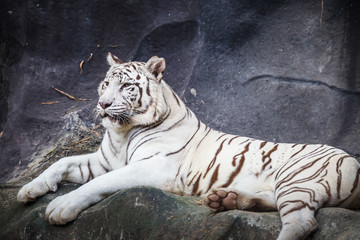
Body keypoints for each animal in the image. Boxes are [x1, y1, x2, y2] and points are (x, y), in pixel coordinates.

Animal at [17, 53, 360, 240]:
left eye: (126, 87)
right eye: (105, 84)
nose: (102, 104)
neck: (122, 132)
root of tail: (353, 160)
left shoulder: (154, 167)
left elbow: (100, 184)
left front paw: (60, 207)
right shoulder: (103, 160)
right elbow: (60, 163)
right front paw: (29, 190)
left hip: (297, 178)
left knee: (302, 222)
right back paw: (224, 199)